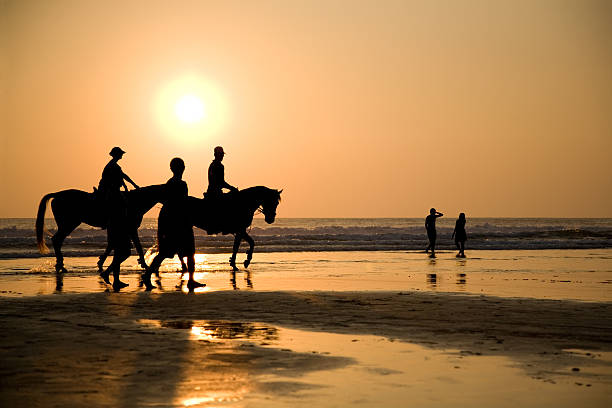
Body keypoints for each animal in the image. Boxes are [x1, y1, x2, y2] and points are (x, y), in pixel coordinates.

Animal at [36, 184, 166, 270]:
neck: (134, 201)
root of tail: (57, 195)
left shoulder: (123, 228)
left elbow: (112, 244)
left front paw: (101, 261)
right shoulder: (130, 228)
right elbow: (137, 246)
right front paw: (145, 264)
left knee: (57, 240)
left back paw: (60, 264)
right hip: (69, 224)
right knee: (56, 240)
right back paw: (60, 264)